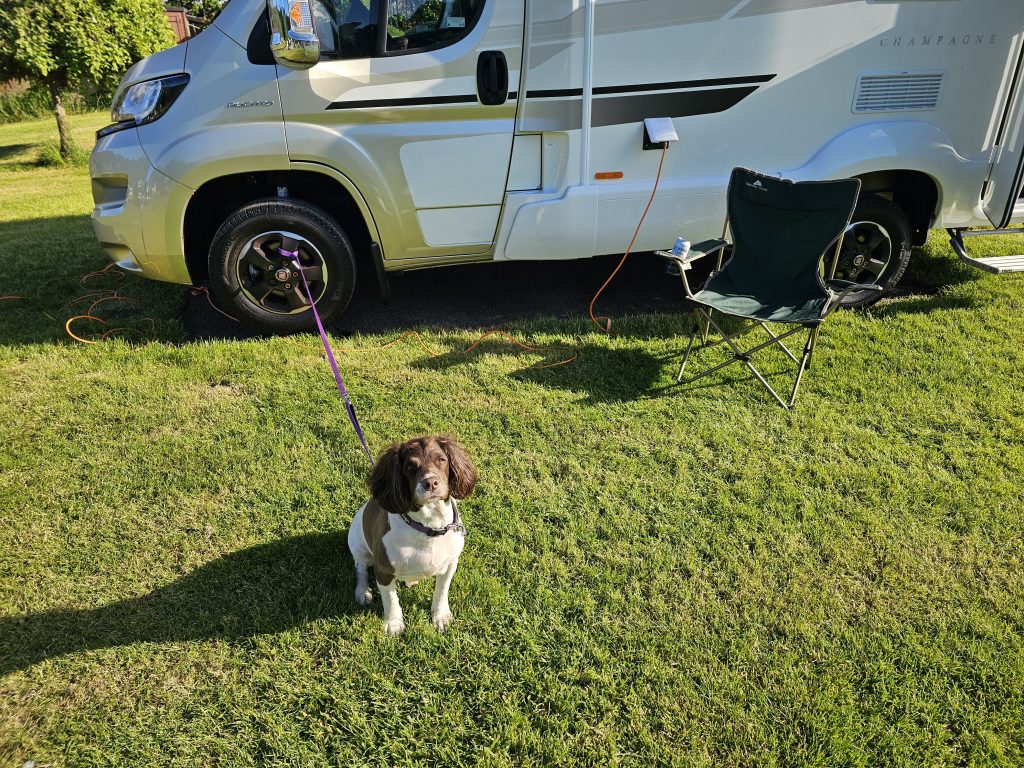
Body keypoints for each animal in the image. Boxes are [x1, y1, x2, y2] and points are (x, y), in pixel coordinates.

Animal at [348, 438, 475, 638]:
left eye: (441, 459)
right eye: (409, 466)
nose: (431, 483)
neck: (429, 527)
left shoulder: (450, 564)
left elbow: (441, 591)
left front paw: (440, 617)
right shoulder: (383, 571)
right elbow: (390, 599)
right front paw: (394, 624)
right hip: (358, 547)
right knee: (361, 569)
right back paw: (363, 592)